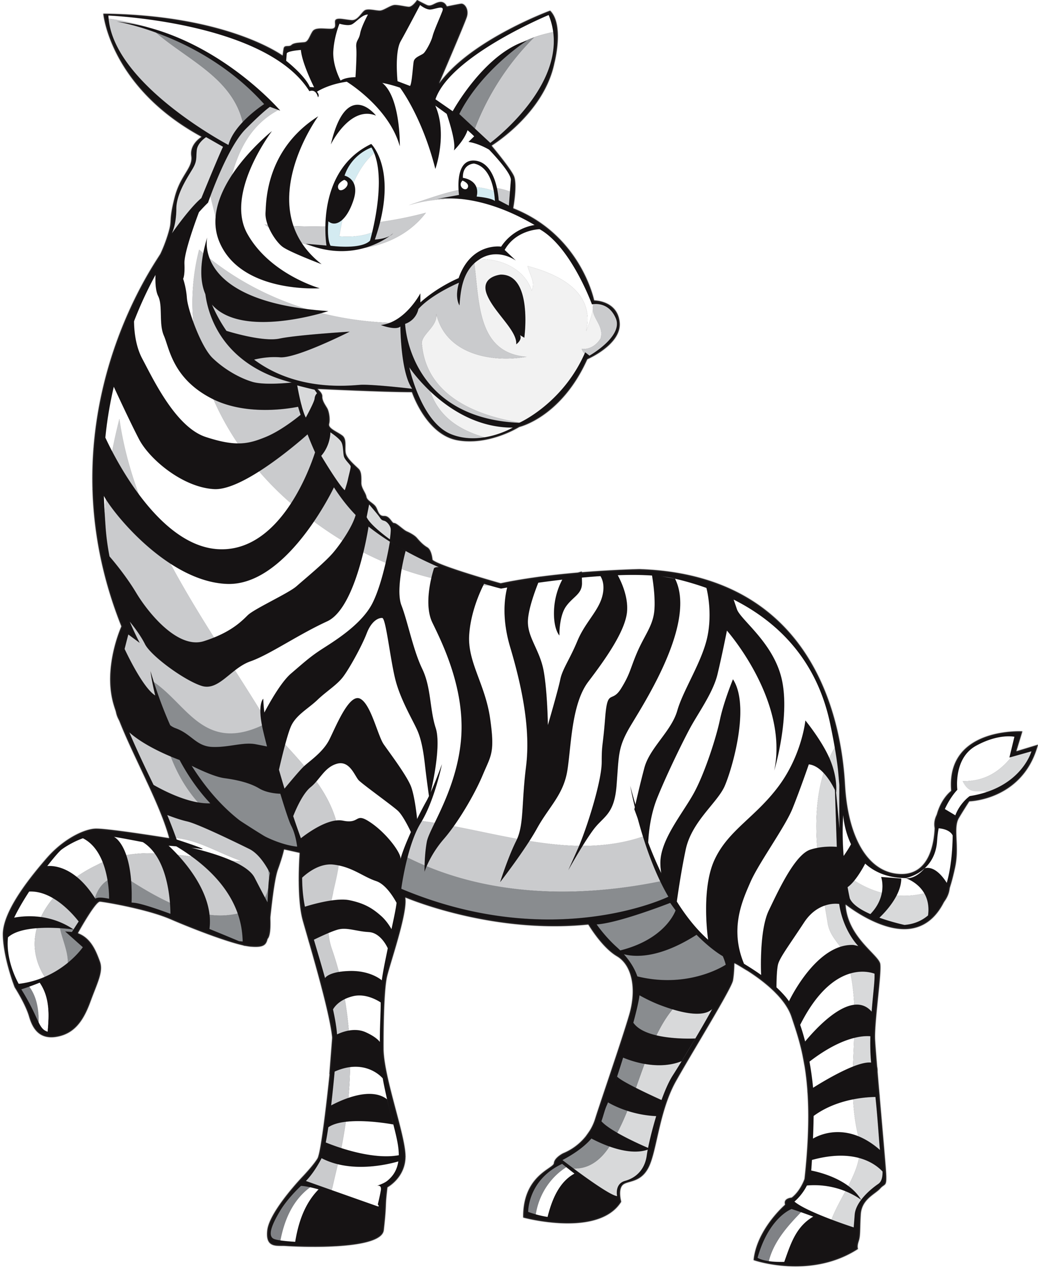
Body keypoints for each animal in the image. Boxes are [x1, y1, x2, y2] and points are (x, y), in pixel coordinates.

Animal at [4, 4, 1031, 1263]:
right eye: (347, 191)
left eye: (490, 184)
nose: (554, 310)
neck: (204, 600)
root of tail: (777, 644)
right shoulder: (221, 849)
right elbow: (78, 861)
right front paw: (55, 982)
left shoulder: (354, 810)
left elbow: (352, 992)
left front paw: (344, 1188)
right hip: (642, 878)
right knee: (685, 985)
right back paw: (593, 1173)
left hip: (739, 841)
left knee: (839, 972)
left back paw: (822, 1208)